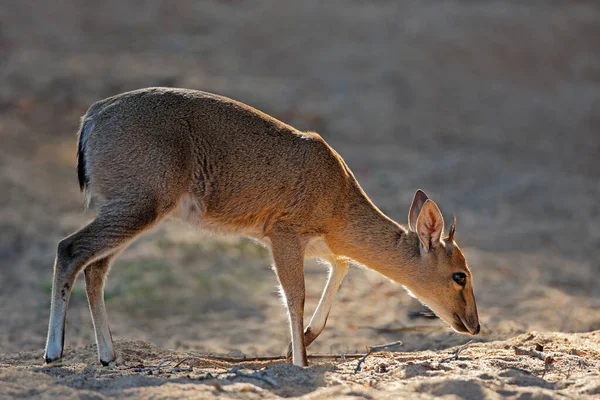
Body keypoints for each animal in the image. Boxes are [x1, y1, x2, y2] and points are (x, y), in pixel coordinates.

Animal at [44, 86, 480, 366]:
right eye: (460, 274)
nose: (475, 325)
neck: (338, 201)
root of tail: (91, 119)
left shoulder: (317, 244)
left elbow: (341, 268)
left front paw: (301, 342)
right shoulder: (283, 234)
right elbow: (295, 296)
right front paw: (299, 361)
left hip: (130, 210)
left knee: (95, 267)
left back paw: (107, 357)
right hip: (138, 205)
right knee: (69, 248)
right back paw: (53, 353)